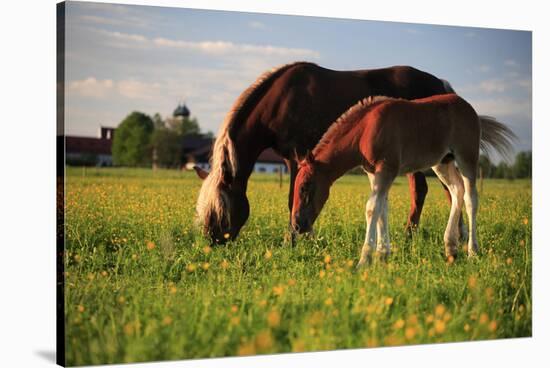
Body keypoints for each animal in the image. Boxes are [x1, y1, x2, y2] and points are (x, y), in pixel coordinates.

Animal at [194, 61, 462, 244]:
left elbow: (293, 197)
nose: (212, 241)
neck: (281, 101)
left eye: (219, 210)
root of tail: (441, 85)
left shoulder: (297, 156)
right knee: (437, 190)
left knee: (435, 190)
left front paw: (294, 239)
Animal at [294, 93, 516, 266]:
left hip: (466, 157)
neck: (366, 129)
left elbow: (371, 209)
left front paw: (364, 261)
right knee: (456, 191)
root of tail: (470, 109)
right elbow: (382, 209)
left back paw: (472, 251)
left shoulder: (386, 170)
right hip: (442, 162)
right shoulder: (374, 174)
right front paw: (382, 255)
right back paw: (451, 248)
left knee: (470, 199)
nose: (297, 225)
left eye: (305, 187)